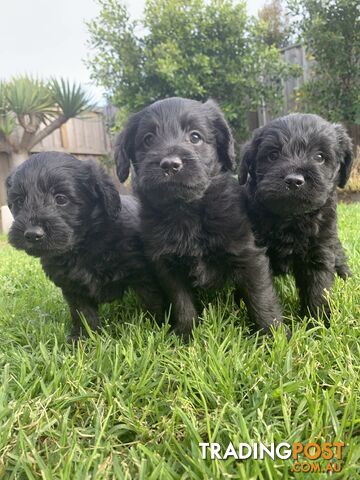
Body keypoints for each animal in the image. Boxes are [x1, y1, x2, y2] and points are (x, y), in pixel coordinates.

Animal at [5, 152, 166, 340]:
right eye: (19, 201)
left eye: (61, 199)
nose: (32, 234)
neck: (84, 245)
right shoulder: (72, 288)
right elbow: (82, 313)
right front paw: (83, 338)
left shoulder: (142, 275)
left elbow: (152, 300)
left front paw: (156, 327)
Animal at [114, 96, 284, 338]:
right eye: (148, 139)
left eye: (195, 137)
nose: (170, 164)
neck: (187, 211)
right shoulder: (166, 266)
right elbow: (181, 302)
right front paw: (185, 335)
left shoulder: (249, 255)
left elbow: (260, 296)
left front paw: (273, 335)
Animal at [238, 114, 352, 320]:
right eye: (273, 155)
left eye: (319, 157)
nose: (294, 181)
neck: (290, 219)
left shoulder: (319, 250)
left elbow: (318, 288)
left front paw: (319, 322)